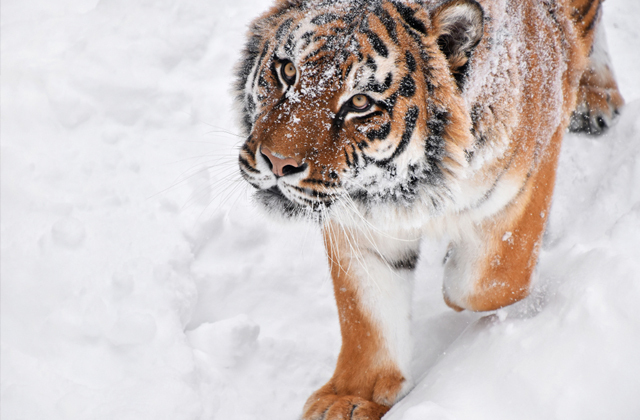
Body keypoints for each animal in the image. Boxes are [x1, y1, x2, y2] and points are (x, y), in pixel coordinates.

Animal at [232, 0, 624, 416]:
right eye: (287, 70)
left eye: (360, 102)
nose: (277, 163)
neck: (410, 183)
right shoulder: (359, 224)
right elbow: (367, 315)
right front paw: (351, 399)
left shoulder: (529, 173)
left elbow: (484, 282)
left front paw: (458, 282)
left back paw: (596, 95)